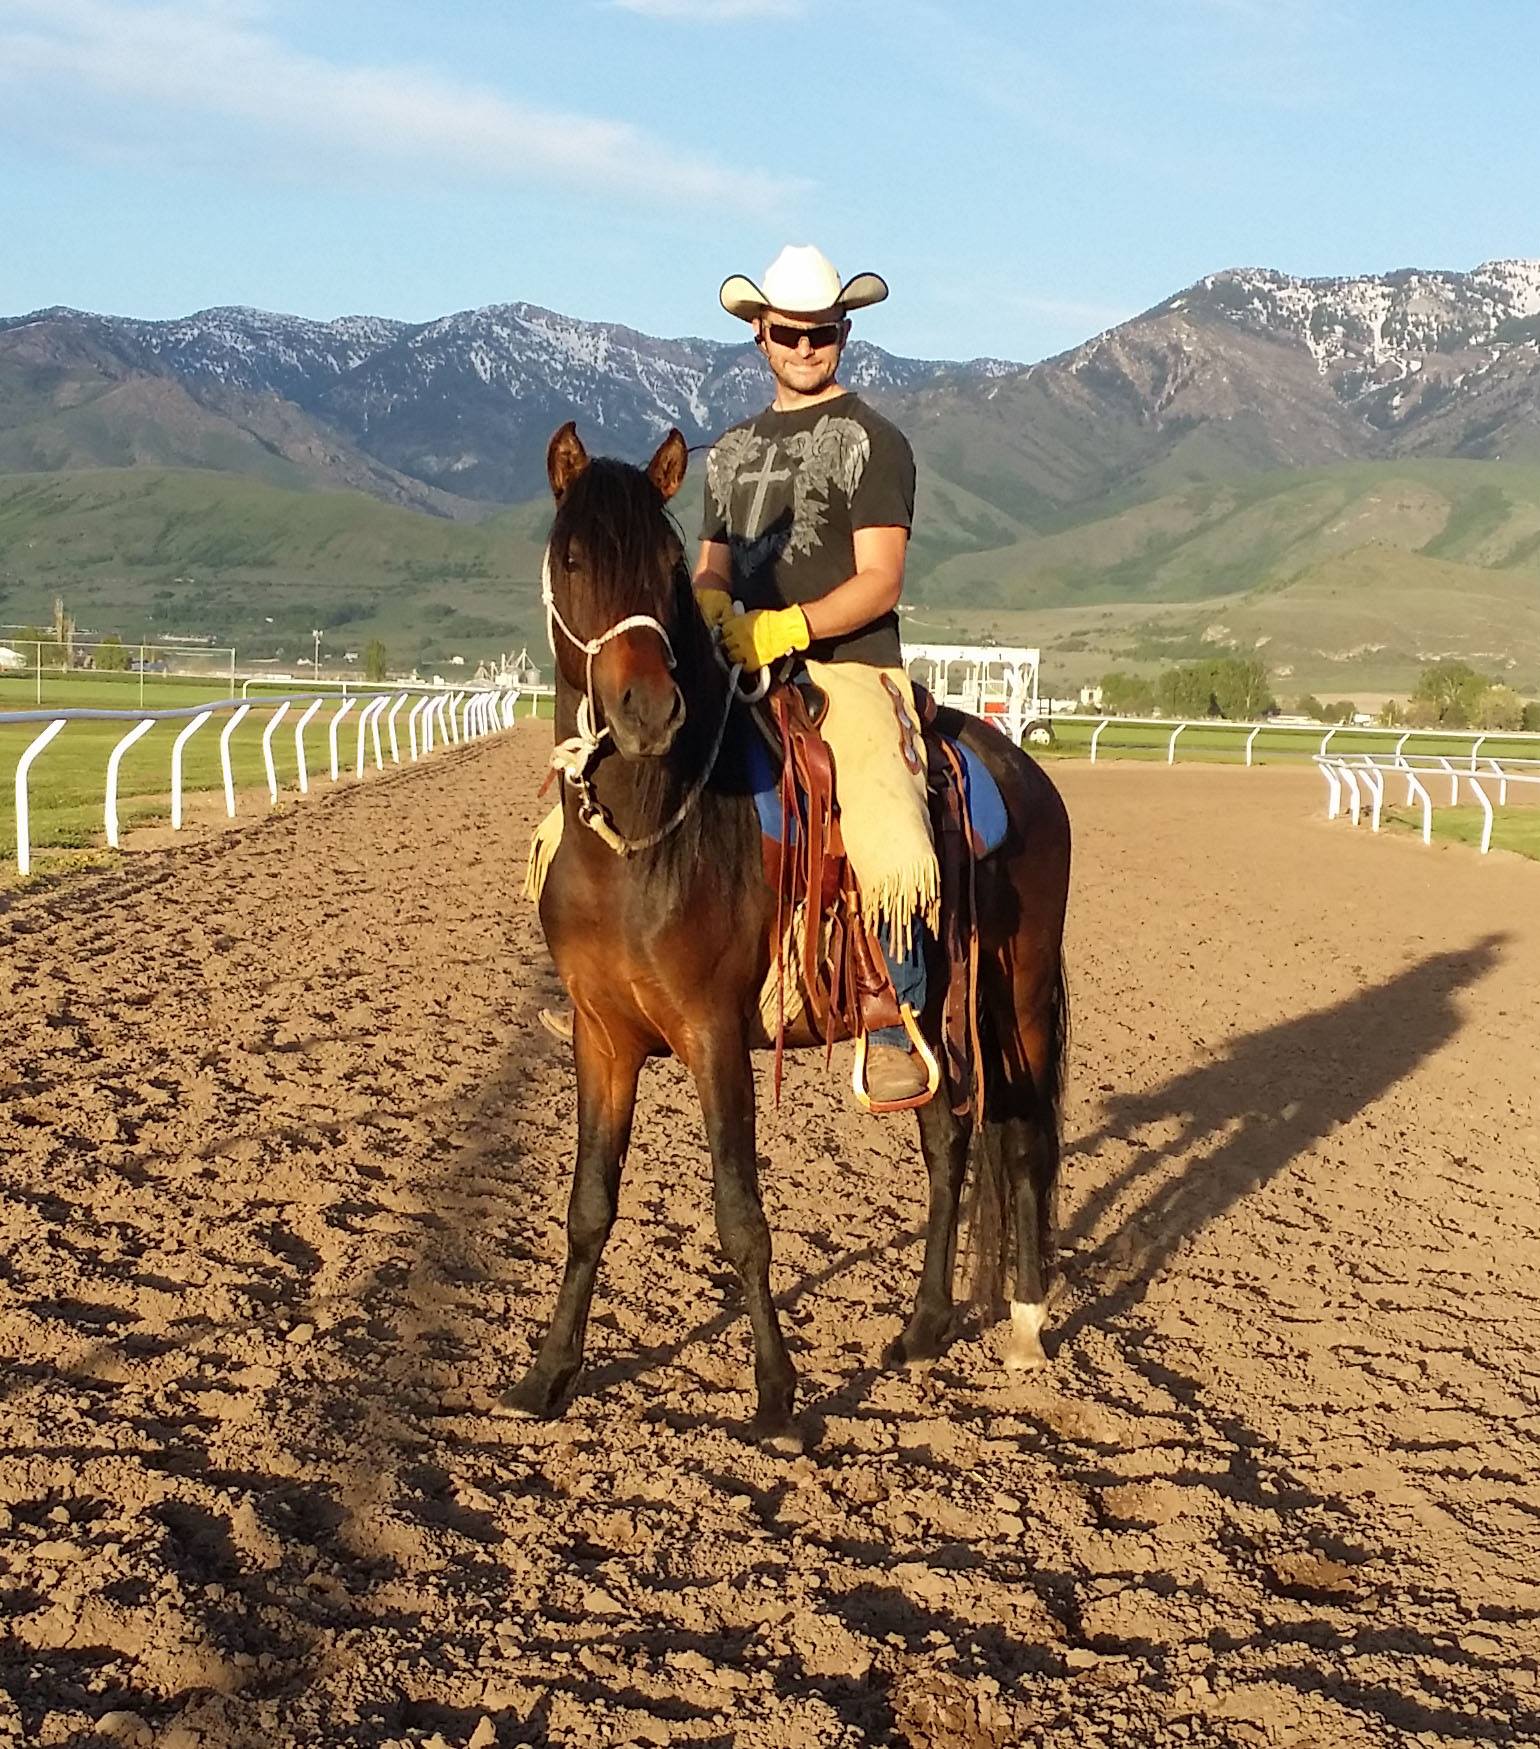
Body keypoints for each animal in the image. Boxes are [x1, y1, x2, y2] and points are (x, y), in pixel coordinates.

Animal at [501, 420, 1071, 1452]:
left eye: (664, 563)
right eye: (572, 558)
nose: (648, 710)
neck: (651, 838)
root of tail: (1021, 767)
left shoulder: (714, 1033)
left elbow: (741, 1215)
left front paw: (776, 1400)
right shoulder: (601, 1038)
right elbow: (588, 1205)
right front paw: (548, 1374)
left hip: (1020, 996)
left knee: (1023, 1141)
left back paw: (1023, 1325)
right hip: (931, 1016)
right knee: (948, 1139)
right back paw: (923, 1327)